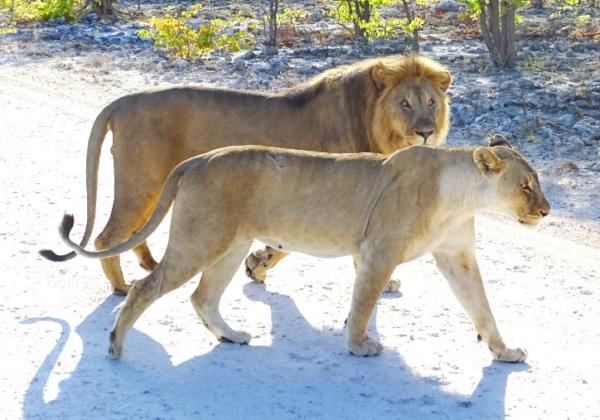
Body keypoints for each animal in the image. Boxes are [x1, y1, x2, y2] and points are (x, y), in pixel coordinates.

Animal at [39, 55, 450, 296]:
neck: (370, 117)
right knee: (109, 235)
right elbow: (299, 247)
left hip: (152, 185)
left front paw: (255, 265)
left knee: (133, 233)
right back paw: (123, 288)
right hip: (141, 180)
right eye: (404, 103)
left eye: (431, 102)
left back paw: (148, 267)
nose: (426, 131)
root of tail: (122, 101)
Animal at [58, 136, 552, 362]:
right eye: (526, 185)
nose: (547, 211)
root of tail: (195, 160)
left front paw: (504, 352)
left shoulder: (458, 258)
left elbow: (482, 308)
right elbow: (365, 299)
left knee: (202, 297)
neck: (462, 196)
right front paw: (359, 345)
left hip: (231, 244)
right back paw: (116, 346)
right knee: (146, 288)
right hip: (200, 240)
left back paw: (230, 336)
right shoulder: (379, 250)